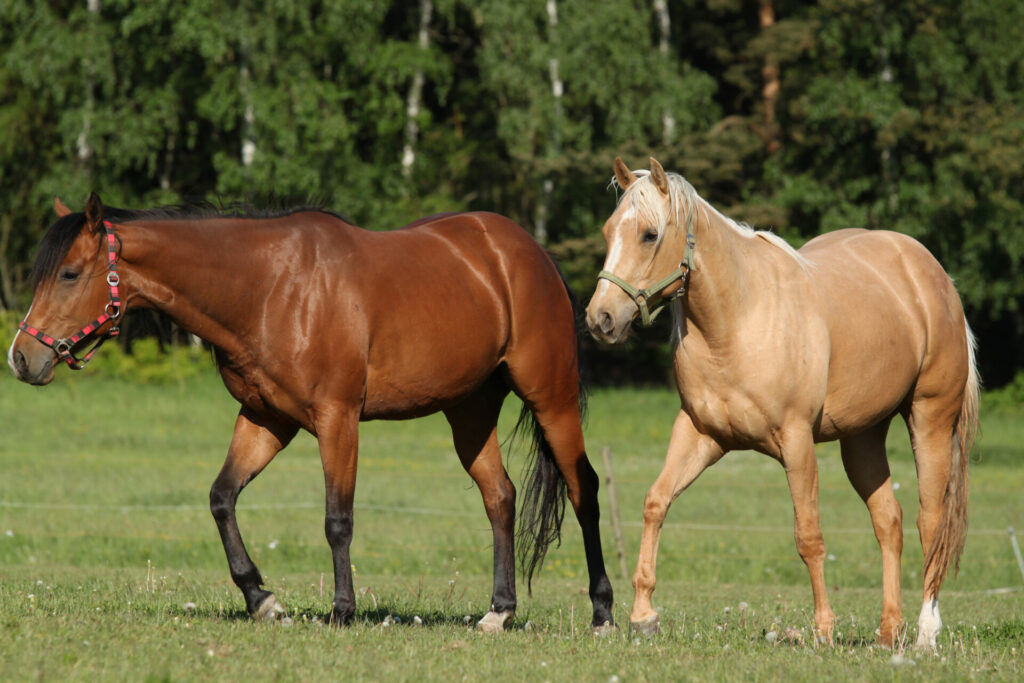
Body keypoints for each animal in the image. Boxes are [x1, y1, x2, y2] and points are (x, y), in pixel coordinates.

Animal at [9, 192, 614, 634]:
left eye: (69, 273)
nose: (21, 357)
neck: (270, 287)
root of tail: (527, 252)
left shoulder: (336, 419)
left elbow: (336, 519)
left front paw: (342, 610)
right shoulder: (265, 419)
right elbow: (222, 498)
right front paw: (261, 598)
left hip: (551, 397)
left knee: (583, 489)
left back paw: (604, 612)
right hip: (469, 410)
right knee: (500, 497)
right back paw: (498, 611)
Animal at [585, 157, 974, 651]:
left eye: (649, 235)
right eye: (608, 230)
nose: (601, 319)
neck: (737, 321)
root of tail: (932, 272)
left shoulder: (796, 441)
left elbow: (808, 535)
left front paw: (824, 628)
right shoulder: (700, 434)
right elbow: (656, 502)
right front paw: (643, 616)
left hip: (929, 419)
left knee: (931, 522)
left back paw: (925, 632)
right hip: (863, 436)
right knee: (888, 521)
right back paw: (890, 631)